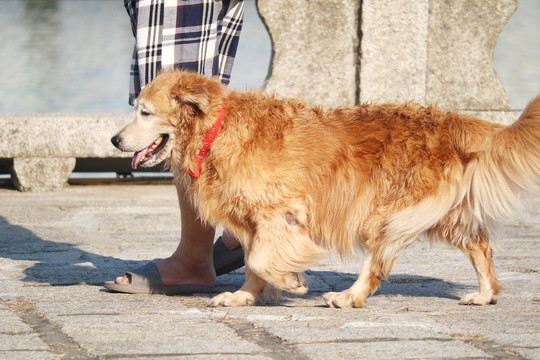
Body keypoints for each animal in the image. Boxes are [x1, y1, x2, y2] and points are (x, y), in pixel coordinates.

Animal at [110, 69, 540, 306]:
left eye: (144, 112)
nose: (114, 139)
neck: (215, 129)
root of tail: (450, 121)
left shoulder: (280, 211)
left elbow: (263, 259)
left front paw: (291, 281)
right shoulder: (249, 221)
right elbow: (252, 263)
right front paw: (245, 296)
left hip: (386, 213)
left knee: (376, 265)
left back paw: (349, 296)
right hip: (440, 215)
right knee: (480, 248)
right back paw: (485, 294)